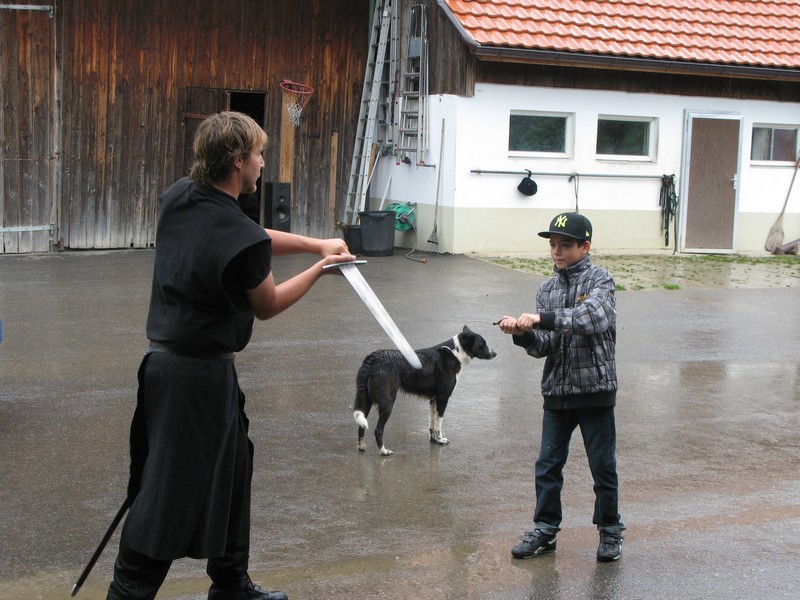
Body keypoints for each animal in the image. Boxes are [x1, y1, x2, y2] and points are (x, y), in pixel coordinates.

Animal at [353, 325, 497, 455]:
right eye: (482, 344)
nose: (495, 353)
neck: (455, 353)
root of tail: (372, 359)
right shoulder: (443, 398)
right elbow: (439, 424)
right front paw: (440, 440)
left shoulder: (433, 400)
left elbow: (432, 424)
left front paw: (434, 440)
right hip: (387, 403)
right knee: (378, 430)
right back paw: (383, 451)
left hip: (366, 400)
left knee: (361, 425)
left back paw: (361, 447)